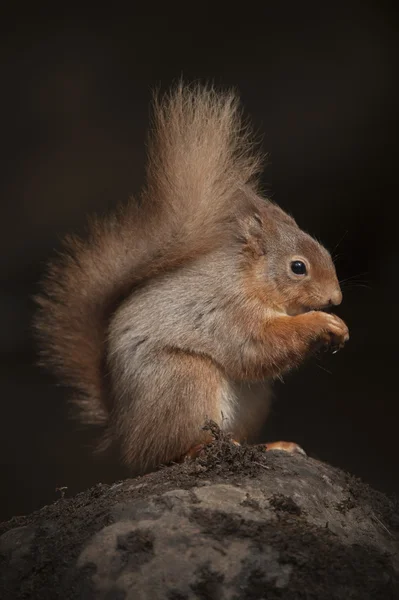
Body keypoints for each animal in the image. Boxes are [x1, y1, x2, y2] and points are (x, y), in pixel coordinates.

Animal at [34, 82, 350, 472]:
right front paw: (324, 322)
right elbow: (258, 345)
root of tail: (124, 433)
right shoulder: (230, 309)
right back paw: (196, 450)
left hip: (251, 401)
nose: (336, 298)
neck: (252, 278)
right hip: (185, 380)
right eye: (298, 267)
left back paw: (273, 445)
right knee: (162, 454)